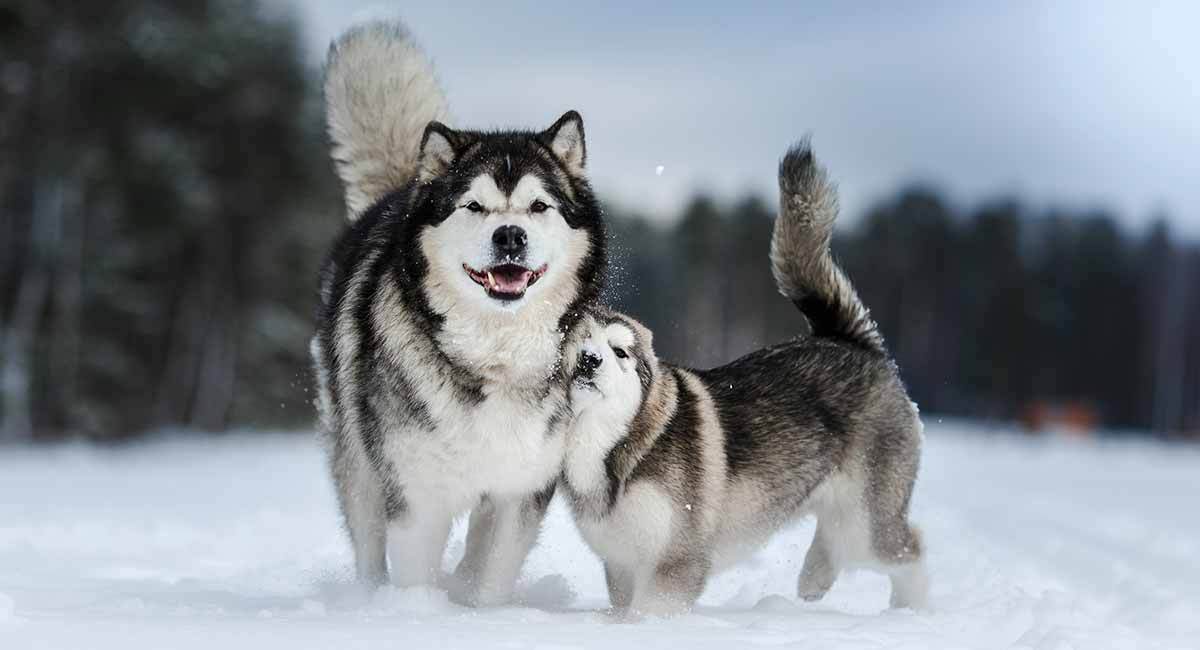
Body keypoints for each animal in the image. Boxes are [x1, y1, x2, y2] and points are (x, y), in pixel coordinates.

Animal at [312, 21, 604, 611]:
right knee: (366, 536)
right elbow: (414, 570)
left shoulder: (520, 491)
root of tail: (403, 187)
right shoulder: (415, 495)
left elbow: (492, 577)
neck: (494, 353)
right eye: (473, 206)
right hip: (359, 467)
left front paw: (479, 613)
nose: (510, 236)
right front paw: (420, 613)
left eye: (539, 206)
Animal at [561, 142, 926, 618]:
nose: (589, 360)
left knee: (909, 549)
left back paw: (913, 610)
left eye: (619, 352)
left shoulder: (678, 563)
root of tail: (851, 342)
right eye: (575, 344)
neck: (611, 444)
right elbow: (624, 606)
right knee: (836, 547)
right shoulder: (620, 563)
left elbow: (650, 610)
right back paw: (814, 582)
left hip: (867, 520)